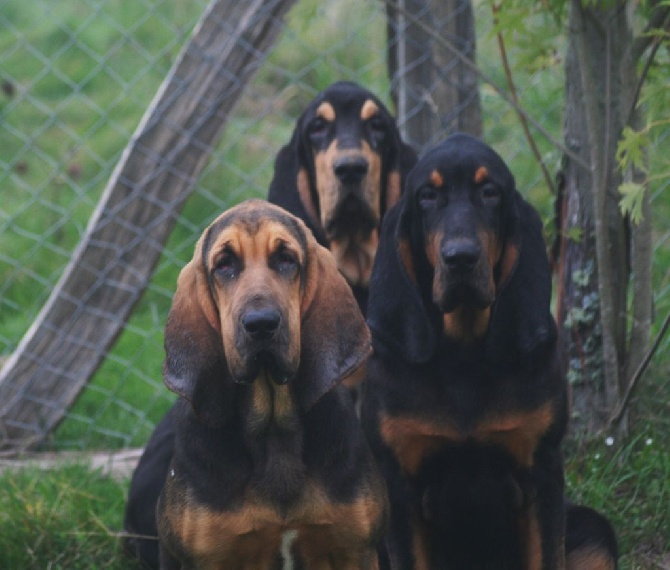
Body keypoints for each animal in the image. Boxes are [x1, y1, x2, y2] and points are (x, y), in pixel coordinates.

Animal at [360, 134, 616, 568]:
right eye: (427, 195)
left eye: (490, 191)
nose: (461, 258)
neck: (464, 350)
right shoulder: (399, 486)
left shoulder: (542, 472)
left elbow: (547, 555)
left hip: (594, 531)